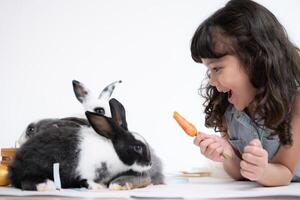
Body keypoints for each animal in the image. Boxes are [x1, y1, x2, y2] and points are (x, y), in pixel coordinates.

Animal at [8, 98, 154, 191]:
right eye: (137, 147)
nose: (149, 163)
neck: (113, 151)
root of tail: (14, 166)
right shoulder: (83, 171)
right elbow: (85, 180)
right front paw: (98, 187)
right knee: (25, 182)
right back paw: (47, 185)